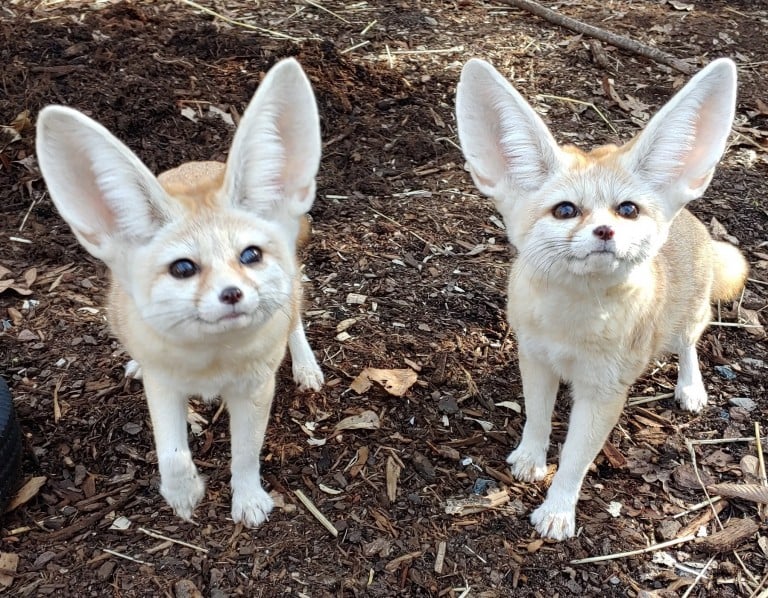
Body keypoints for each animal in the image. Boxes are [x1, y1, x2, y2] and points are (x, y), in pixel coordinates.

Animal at [36, 58, 324, 528]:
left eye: (250, 255)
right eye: (183, 268)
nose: (232, 294)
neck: (211, 361)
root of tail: (198, 162)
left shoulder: (254, 388)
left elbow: (245, 454)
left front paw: (247, 499)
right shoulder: (164, 384)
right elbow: (170, 453)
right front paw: (183, 492)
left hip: (292, 292)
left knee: (295, 318)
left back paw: (305, 365)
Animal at [456, 58, 752, 540]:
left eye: (627, 209)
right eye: (565, 210)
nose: (606, 230)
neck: (571, 324)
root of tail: (692, 217)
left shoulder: (604, 393)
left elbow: (575, 461)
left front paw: (558, 510)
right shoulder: (535, 359)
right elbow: (537, 418)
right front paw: (530, 458)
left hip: (687, 318)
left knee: (689, 344)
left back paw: (690, 386)